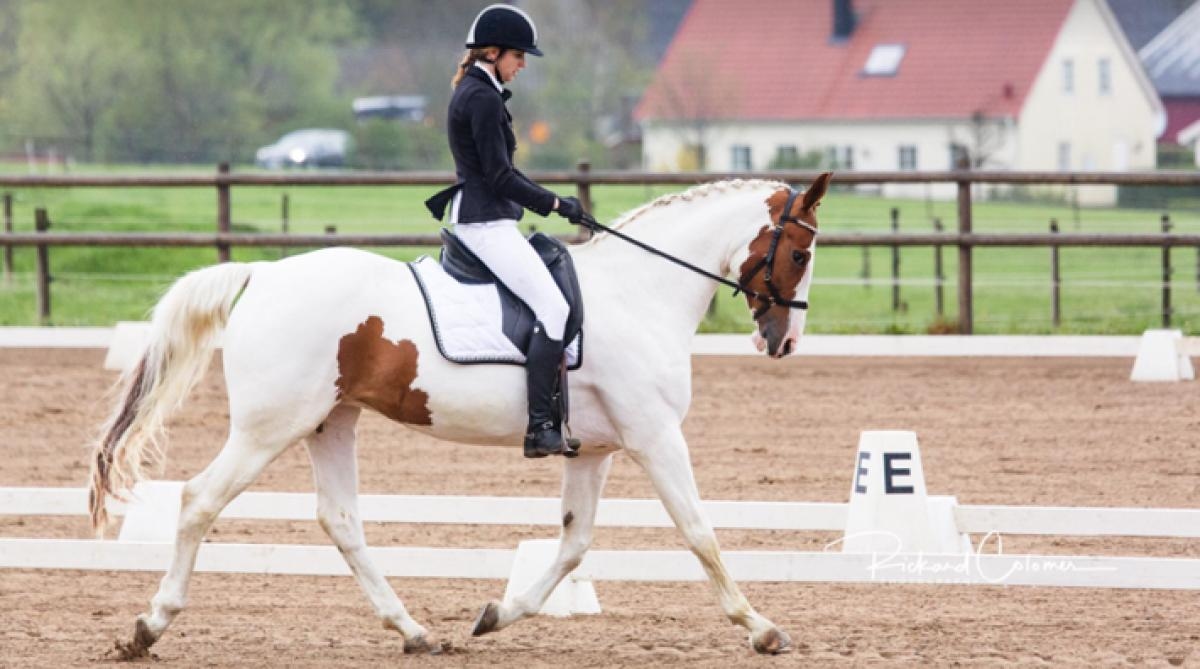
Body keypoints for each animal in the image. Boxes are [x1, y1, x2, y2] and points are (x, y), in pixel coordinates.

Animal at [88, 172, 830, 661]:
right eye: (799, 253)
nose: (783, 343)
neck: (638, 291)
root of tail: (264, 275)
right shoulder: (655, 436)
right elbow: (700, 532)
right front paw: (761, 627)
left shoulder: (593, 450)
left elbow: (574, 543)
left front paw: (496, 614)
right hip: (269, 428)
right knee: (198, 499)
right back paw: (148, 626)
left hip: (332, 421)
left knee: (341, 520)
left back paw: (414, 631)